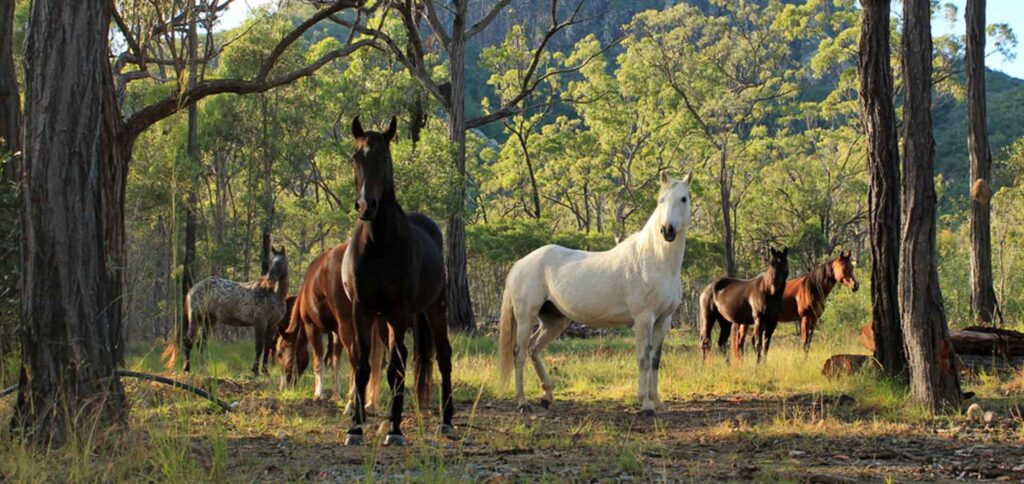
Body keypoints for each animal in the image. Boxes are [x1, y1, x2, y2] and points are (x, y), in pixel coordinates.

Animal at [274, 243, 389, 413]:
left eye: (280, 353)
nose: (284, 387)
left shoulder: (312, 326)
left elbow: (318, 360)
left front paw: (318, 393)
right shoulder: (335, 333)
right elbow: (335, 362)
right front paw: (336, 395)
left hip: (348, 324)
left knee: (356, 357)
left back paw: (351, 403)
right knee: (376, 360)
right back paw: (370, 405)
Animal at [339, 116, 452, 446]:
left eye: (385, 158)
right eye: (355, 157)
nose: (367, 206)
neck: (379, 245)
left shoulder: (399, 311)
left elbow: (396, 368)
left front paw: (396, 430)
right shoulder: (361, 310)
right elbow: (362, 365)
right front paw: (356, 427)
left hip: (433, 309)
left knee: (443, 356)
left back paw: (447, 422)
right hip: (388, 319)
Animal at [497, 172, 692, 415]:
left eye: (684, 198)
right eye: (661, 200)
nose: (667, 230)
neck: (654, 260)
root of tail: (520, 263)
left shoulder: (663, 321)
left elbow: (655, 360)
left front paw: (658, 403)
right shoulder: (644, 319)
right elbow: (644, 359)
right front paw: (646, 405)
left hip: (555, 321)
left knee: (534, 349)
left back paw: (547, 396)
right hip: (526, 318)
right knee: (520, 353)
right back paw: (522, 402)